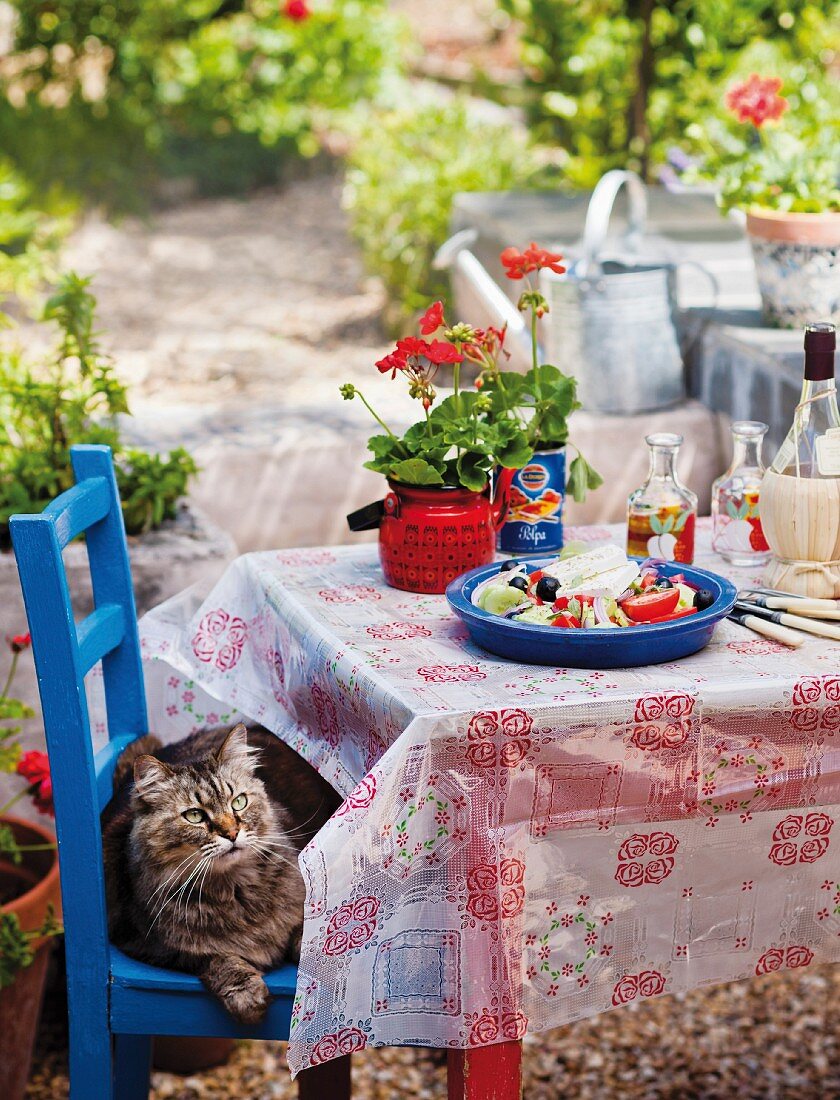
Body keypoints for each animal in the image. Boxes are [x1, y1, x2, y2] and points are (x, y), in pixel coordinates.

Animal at [102, 726, 340, 1025]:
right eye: (194, 816)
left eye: (239, 802)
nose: (232, 833)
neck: (234, 890)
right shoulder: (151, 946)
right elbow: (218, 958)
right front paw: (246, 995)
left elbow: (305, 941)